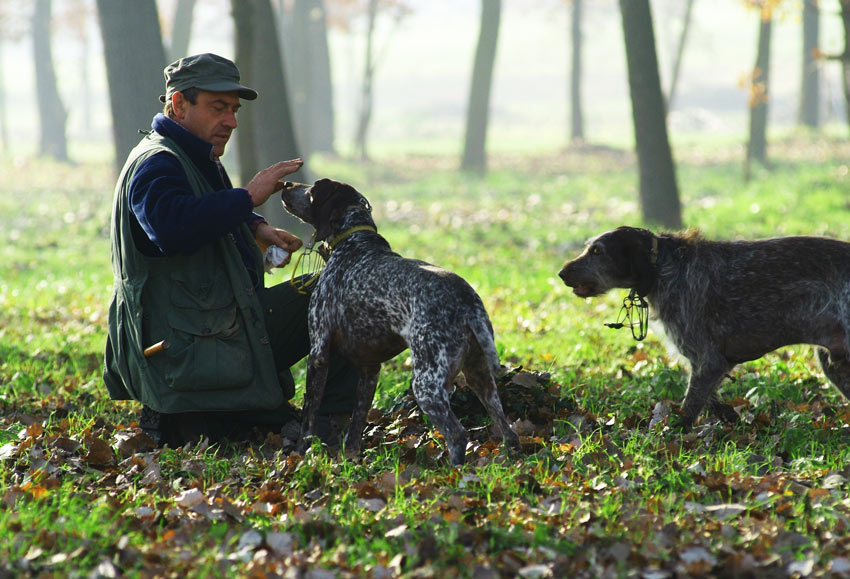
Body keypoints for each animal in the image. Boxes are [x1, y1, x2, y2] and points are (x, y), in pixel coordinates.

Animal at [280, 179, 516, 464]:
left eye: (313, 188)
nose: (286, 183)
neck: (355, 241)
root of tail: (466, 301)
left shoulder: (319, 354)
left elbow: (309, 416)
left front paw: (299, 455)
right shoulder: (370, 369)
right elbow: (356, 425)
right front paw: (351, 462)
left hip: (426, 385)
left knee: (458, 434)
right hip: (479, 376)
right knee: (507, 429)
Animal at [560, 227, 848, 430]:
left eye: (597, 251)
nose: (561, 274)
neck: (662, 267)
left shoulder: (708, 361)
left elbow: (688, 409)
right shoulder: (712, 365)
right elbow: (709, 399)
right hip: (834, 363)